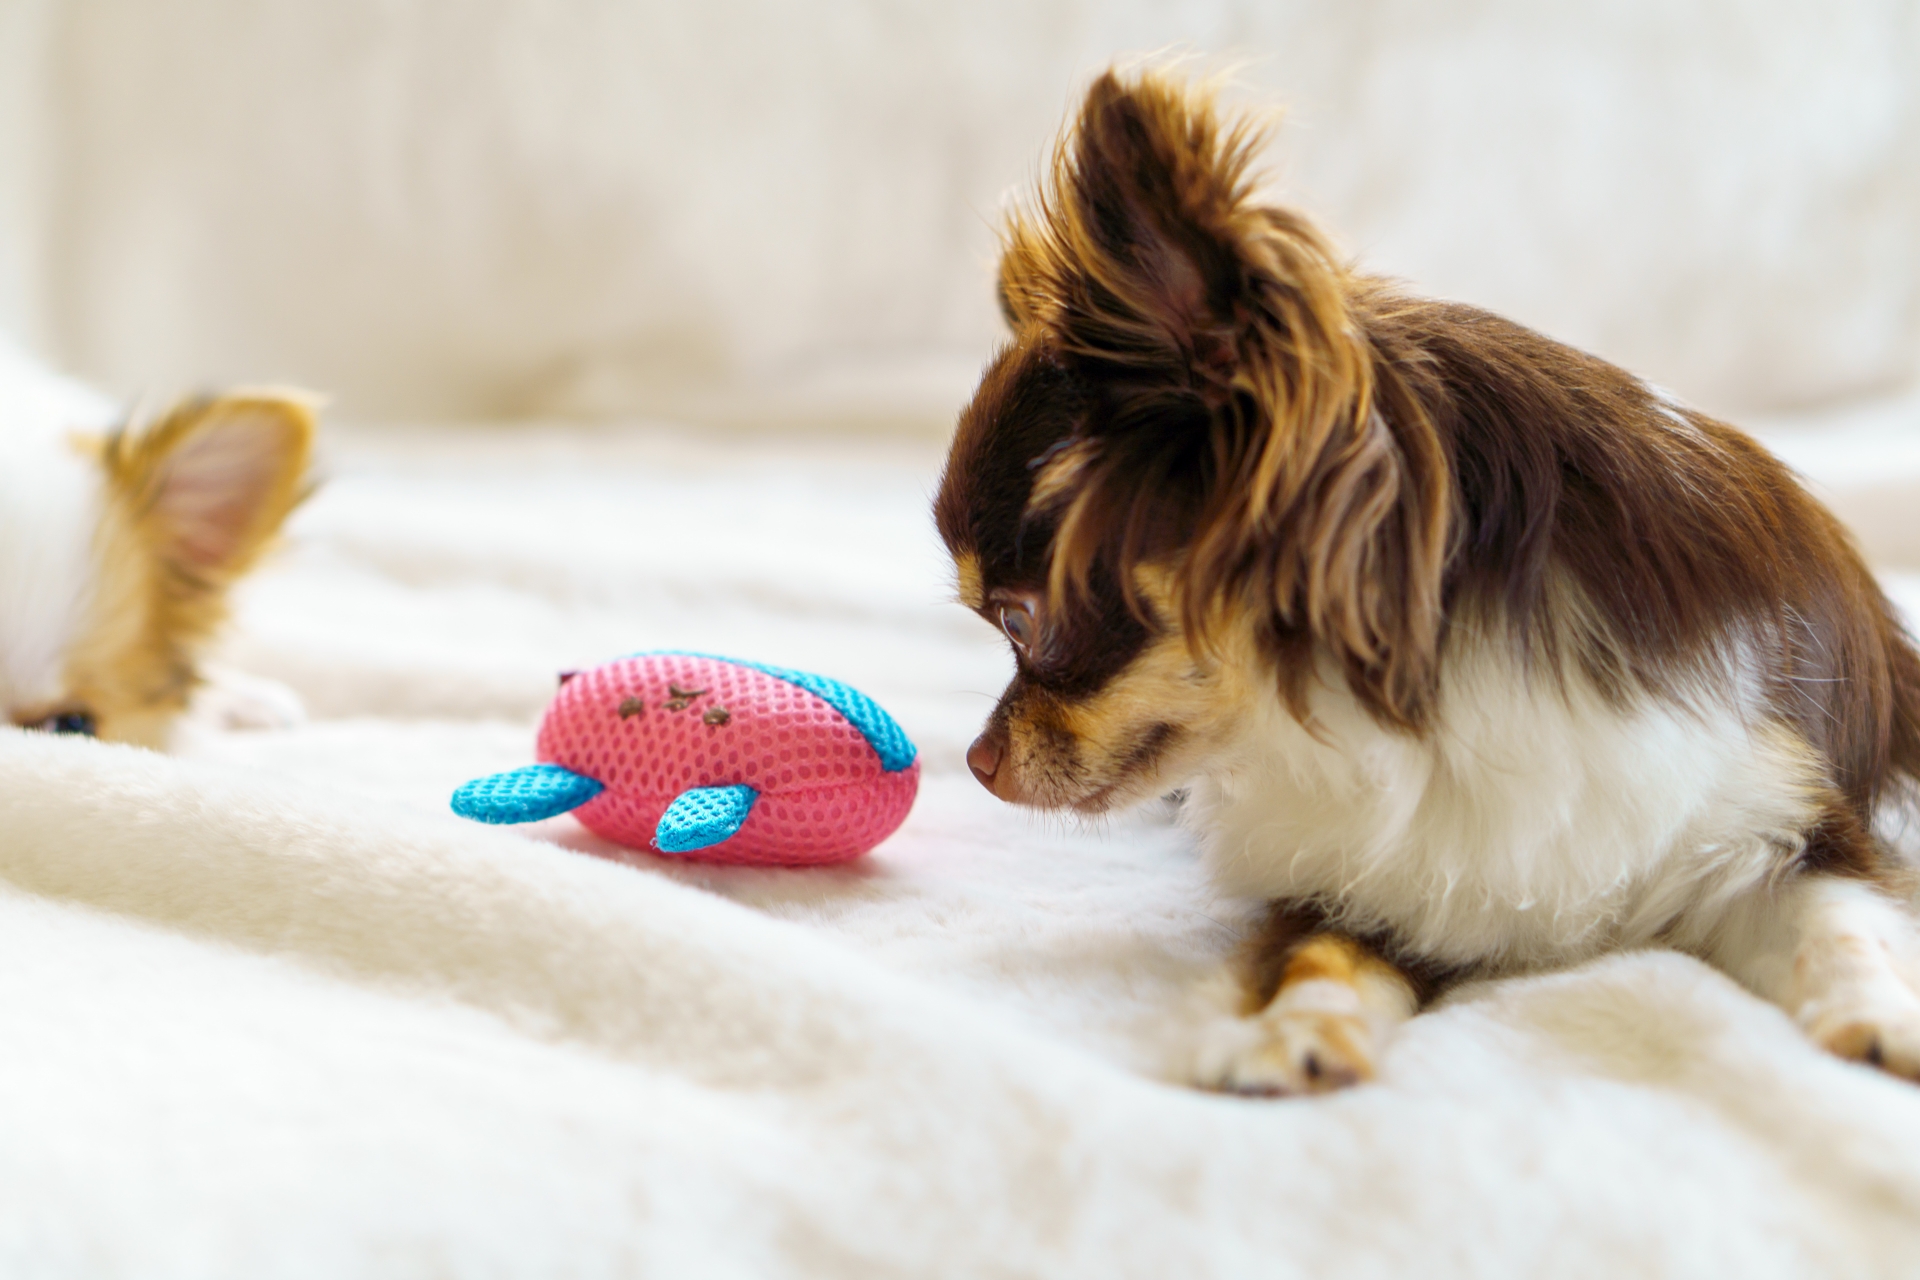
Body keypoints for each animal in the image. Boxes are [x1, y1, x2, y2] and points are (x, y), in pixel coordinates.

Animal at [936, 70, 1920, 1097]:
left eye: (1021, 622)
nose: (977, 760)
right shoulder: (1378, 882)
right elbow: (1319, 956)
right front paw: (1293, 1034)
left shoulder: (1781, 826)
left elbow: (1841, 928)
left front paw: (1882, 1019)